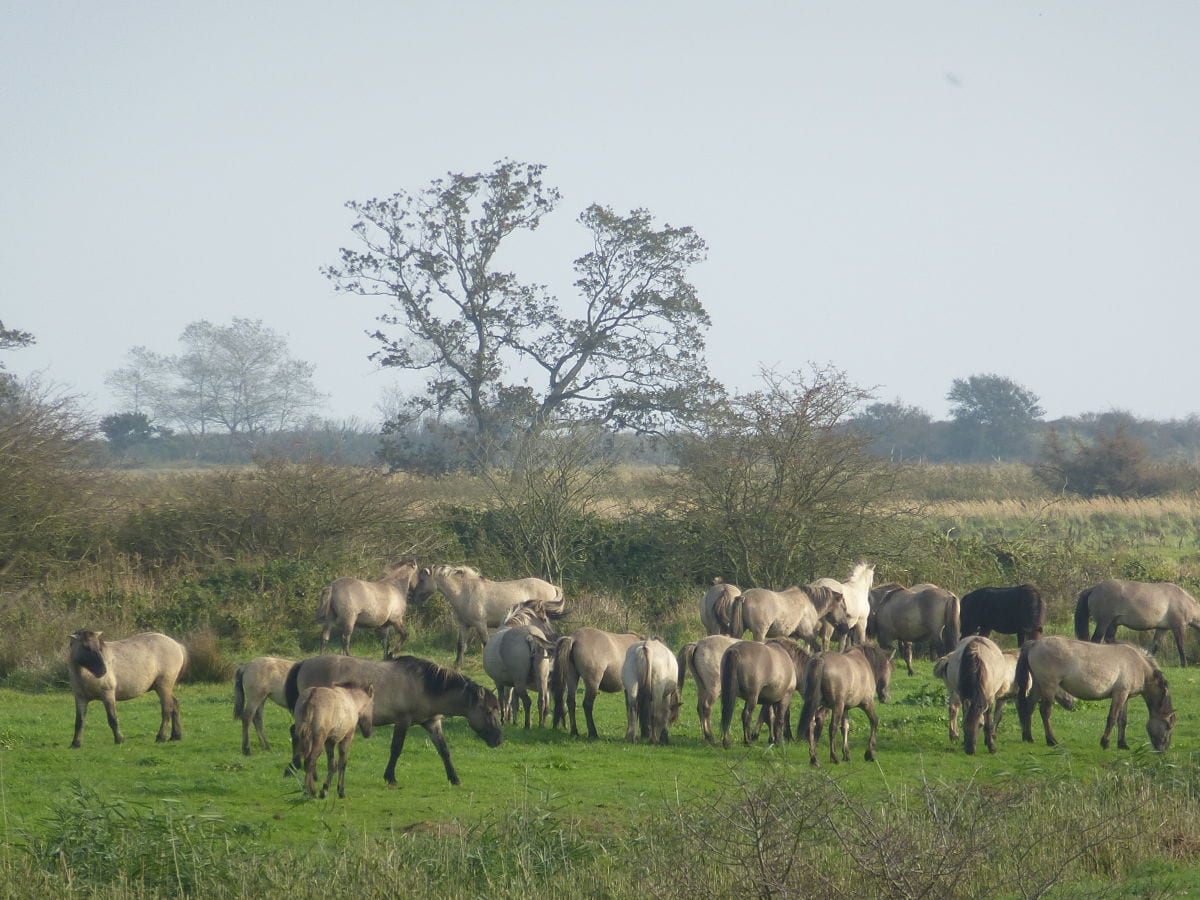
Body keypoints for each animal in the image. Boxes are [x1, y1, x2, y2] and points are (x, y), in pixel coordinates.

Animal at [284, 652, 501, 787]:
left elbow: (444, 750)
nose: (498, 740)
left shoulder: (432, 723)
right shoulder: (402, 721)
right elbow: (396, 749)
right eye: (488, 711)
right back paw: (297, 768)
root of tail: (304, 663)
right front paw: (390, 777)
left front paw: (454, 778)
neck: (424, 685)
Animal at [410, 564, 564, 672]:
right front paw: (457, 666)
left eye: (422, 580)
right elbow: (461, 645)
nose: (413, 597)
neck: (465, 592)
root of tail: (552, 586)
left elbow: (485, 643)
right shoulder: (464, 625)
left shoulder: (481, 624)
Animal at [1017, 633, 1176, 753]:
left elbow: (1122, 720)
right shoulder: (1119, 694)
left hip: (1038, 686)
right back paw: (1052, 740)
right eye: (1168, 725)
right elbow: (1112, 718)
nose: (1163, 750)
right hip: (1048, 687)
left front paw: (1122, 744)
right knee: (1045, 711)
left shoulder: (1125, 697)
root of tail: (1034, 643)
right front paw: (1105, 743)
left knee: (1029, 707)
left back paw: (1028, 737)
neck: (1137, 664)